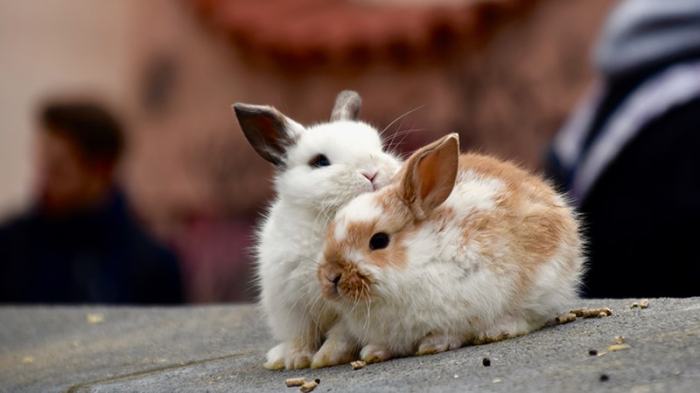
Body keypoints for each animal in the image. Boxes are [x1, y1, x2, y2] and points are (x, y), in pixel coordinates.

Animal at [234, 90, 402, 370]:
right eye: (320, 162)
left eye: (380, 148)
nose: (371, 173)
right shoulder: (292, 306)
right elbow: (301, 335)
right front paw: (296, 360)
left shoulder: (348, 309)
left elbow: (341, 335)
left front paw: (326, 358)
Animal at [318, 132, 584, 364]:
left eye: (379, 241)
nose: (331, 276)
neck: (420, 257)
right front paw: (373, 352)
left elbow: (451, 332)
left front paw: (433, 344)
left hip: (541, 286)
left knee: (528, 317)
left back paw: (497, 331)